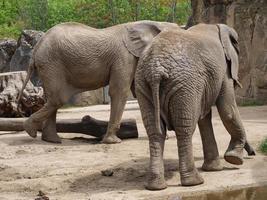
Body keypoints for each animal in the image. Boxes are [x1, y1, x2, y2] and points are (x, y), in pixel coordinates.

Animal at [17, 20, 181, 144]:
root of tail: (36, 49)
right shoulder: (124, 57)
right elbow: (119, 91)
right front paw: (112, 142)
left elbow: (140, 91)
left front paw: (163, 136)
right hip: (51, 64)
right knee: (58, 99)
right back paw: (30, 130)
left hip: (48, 66)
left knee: (52, 100)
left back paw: (52, 140)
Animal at [135, 23, 256, 191]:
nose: (253, 153)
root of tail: (156, 71)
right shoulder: (223, 70)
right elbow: (227, 110)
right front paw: (234, 159)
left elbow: (205, 117)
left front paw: (214, 168)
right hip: (184, 84)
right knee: (184, 129)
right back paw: (194, 182)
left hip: (144, 84)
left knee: (155, 131)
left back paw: (155, 186)